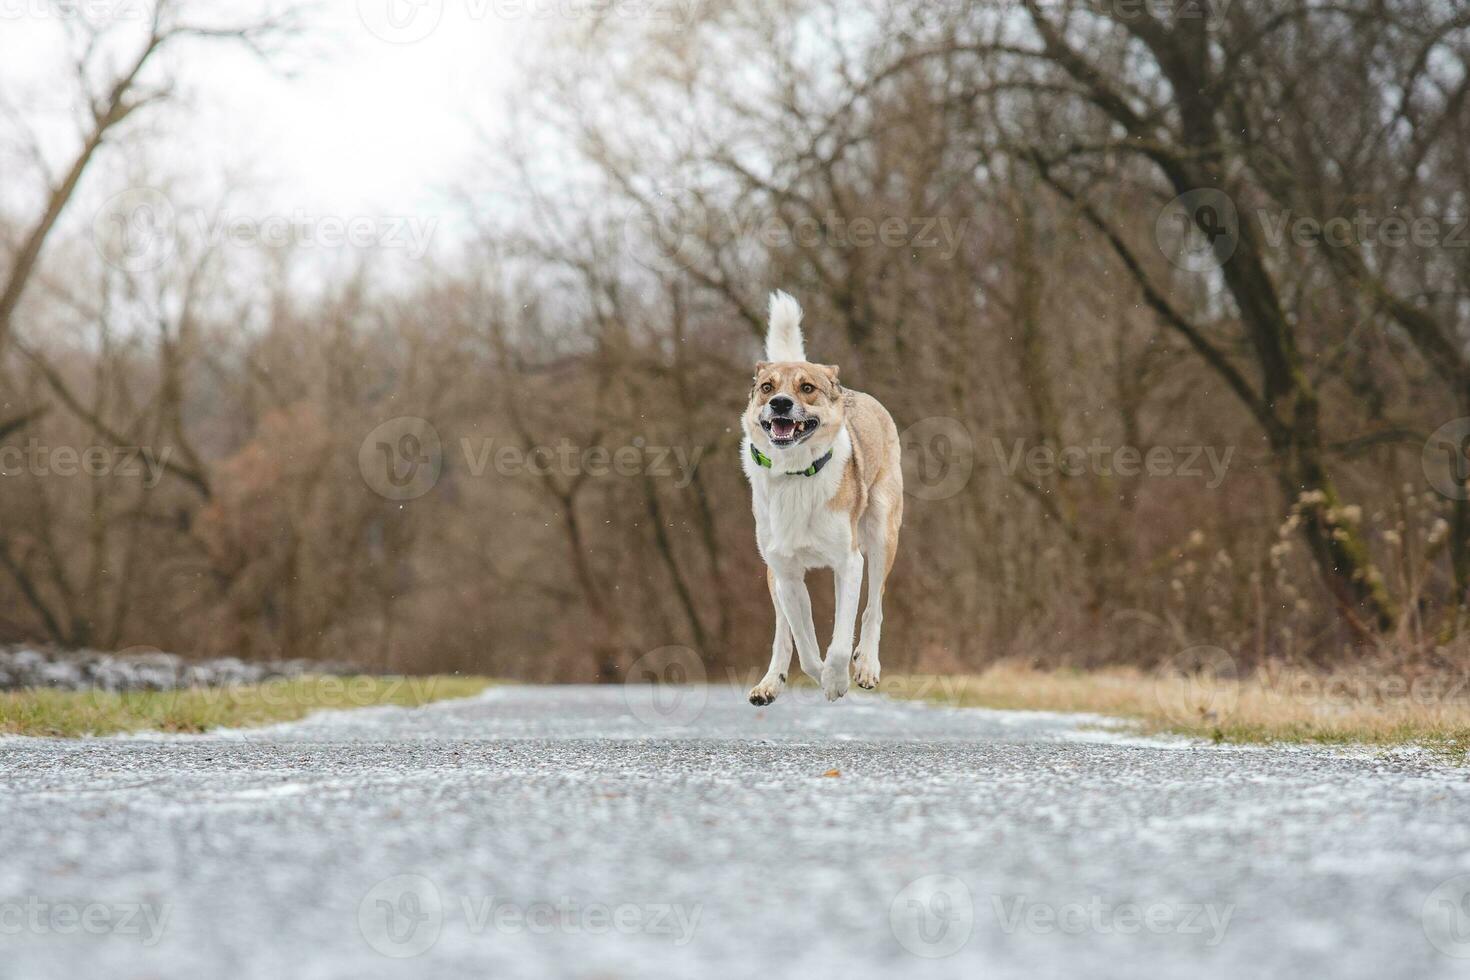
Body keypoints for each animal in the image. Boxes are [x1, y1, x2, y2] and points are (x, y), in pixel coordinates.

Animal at [740, 290, 899, 705]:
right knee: (783, 632)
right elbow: (805, 643)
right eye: (767, 387)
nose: (779, 403)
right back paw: (770, 682)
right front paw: (823, 677)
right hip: (771, 569)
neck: (794, 473)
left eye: (807, 388)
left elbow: (841, 641)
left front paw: (839, 680)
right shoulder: (787, 573)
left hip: (883, 531)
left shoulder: (849, 562)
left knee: (874, 606)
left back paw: (867, 665)